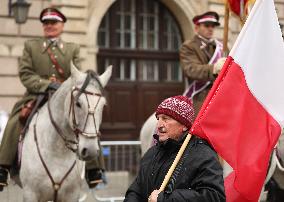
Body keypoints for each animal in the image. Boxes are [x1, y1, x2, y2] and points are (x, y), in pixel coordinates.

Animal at [19, 64, 112, 202]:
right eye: (78, 103)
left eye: (103, 105)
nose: (90, 150)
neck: (58, 152)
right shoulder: (30, 193)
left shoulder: (71, 195)